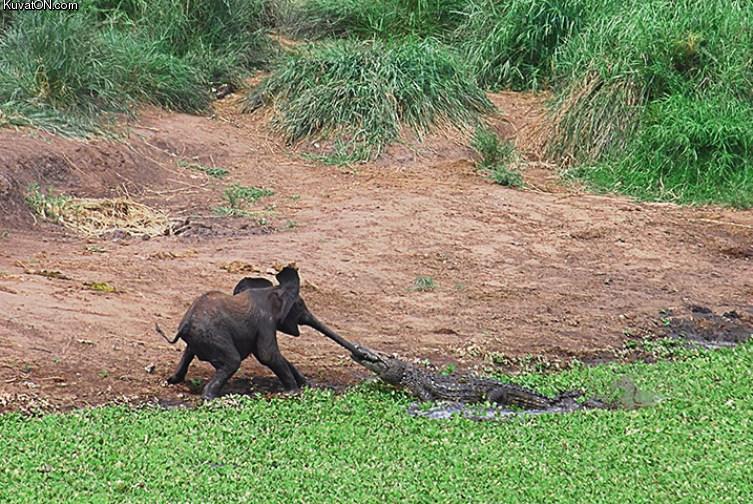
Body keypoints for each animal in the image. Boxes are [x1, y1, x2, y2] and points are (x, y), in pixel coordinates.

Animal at [157, 266, 348, 400]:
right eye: (300, 305)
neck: (272, 291)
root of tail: (184, 325)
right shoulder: (265, 322)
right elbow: (267, 355)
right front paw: (293, 392)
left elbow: (272, 355)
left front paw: (309, 385)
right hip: (213, 336)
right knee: (232, 361)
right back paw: (209, 397)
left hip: (200, 338)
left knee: (189, 353)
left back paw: (172, 381)